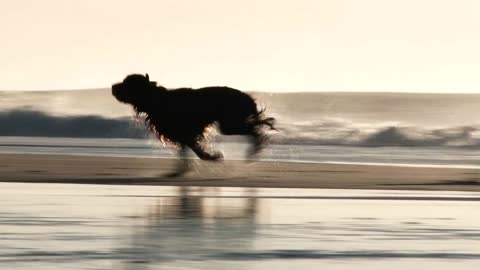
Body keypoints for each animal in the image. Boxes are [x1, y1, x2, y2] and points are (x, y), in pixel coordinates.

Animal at [112, 73, 276, 177]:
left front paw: (212, 156)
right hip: (230, 124)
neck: (156, 100)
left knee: (256, 129)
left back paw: (255, 150)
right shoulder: (182, 135)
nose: (113, 86)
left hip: (230, 124)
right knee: (256, 127)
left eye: (127, 83)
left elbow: (197, 151)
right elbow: (185, 154)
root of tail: (247, 97)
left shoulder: (187, 133)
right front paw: (180, 171)